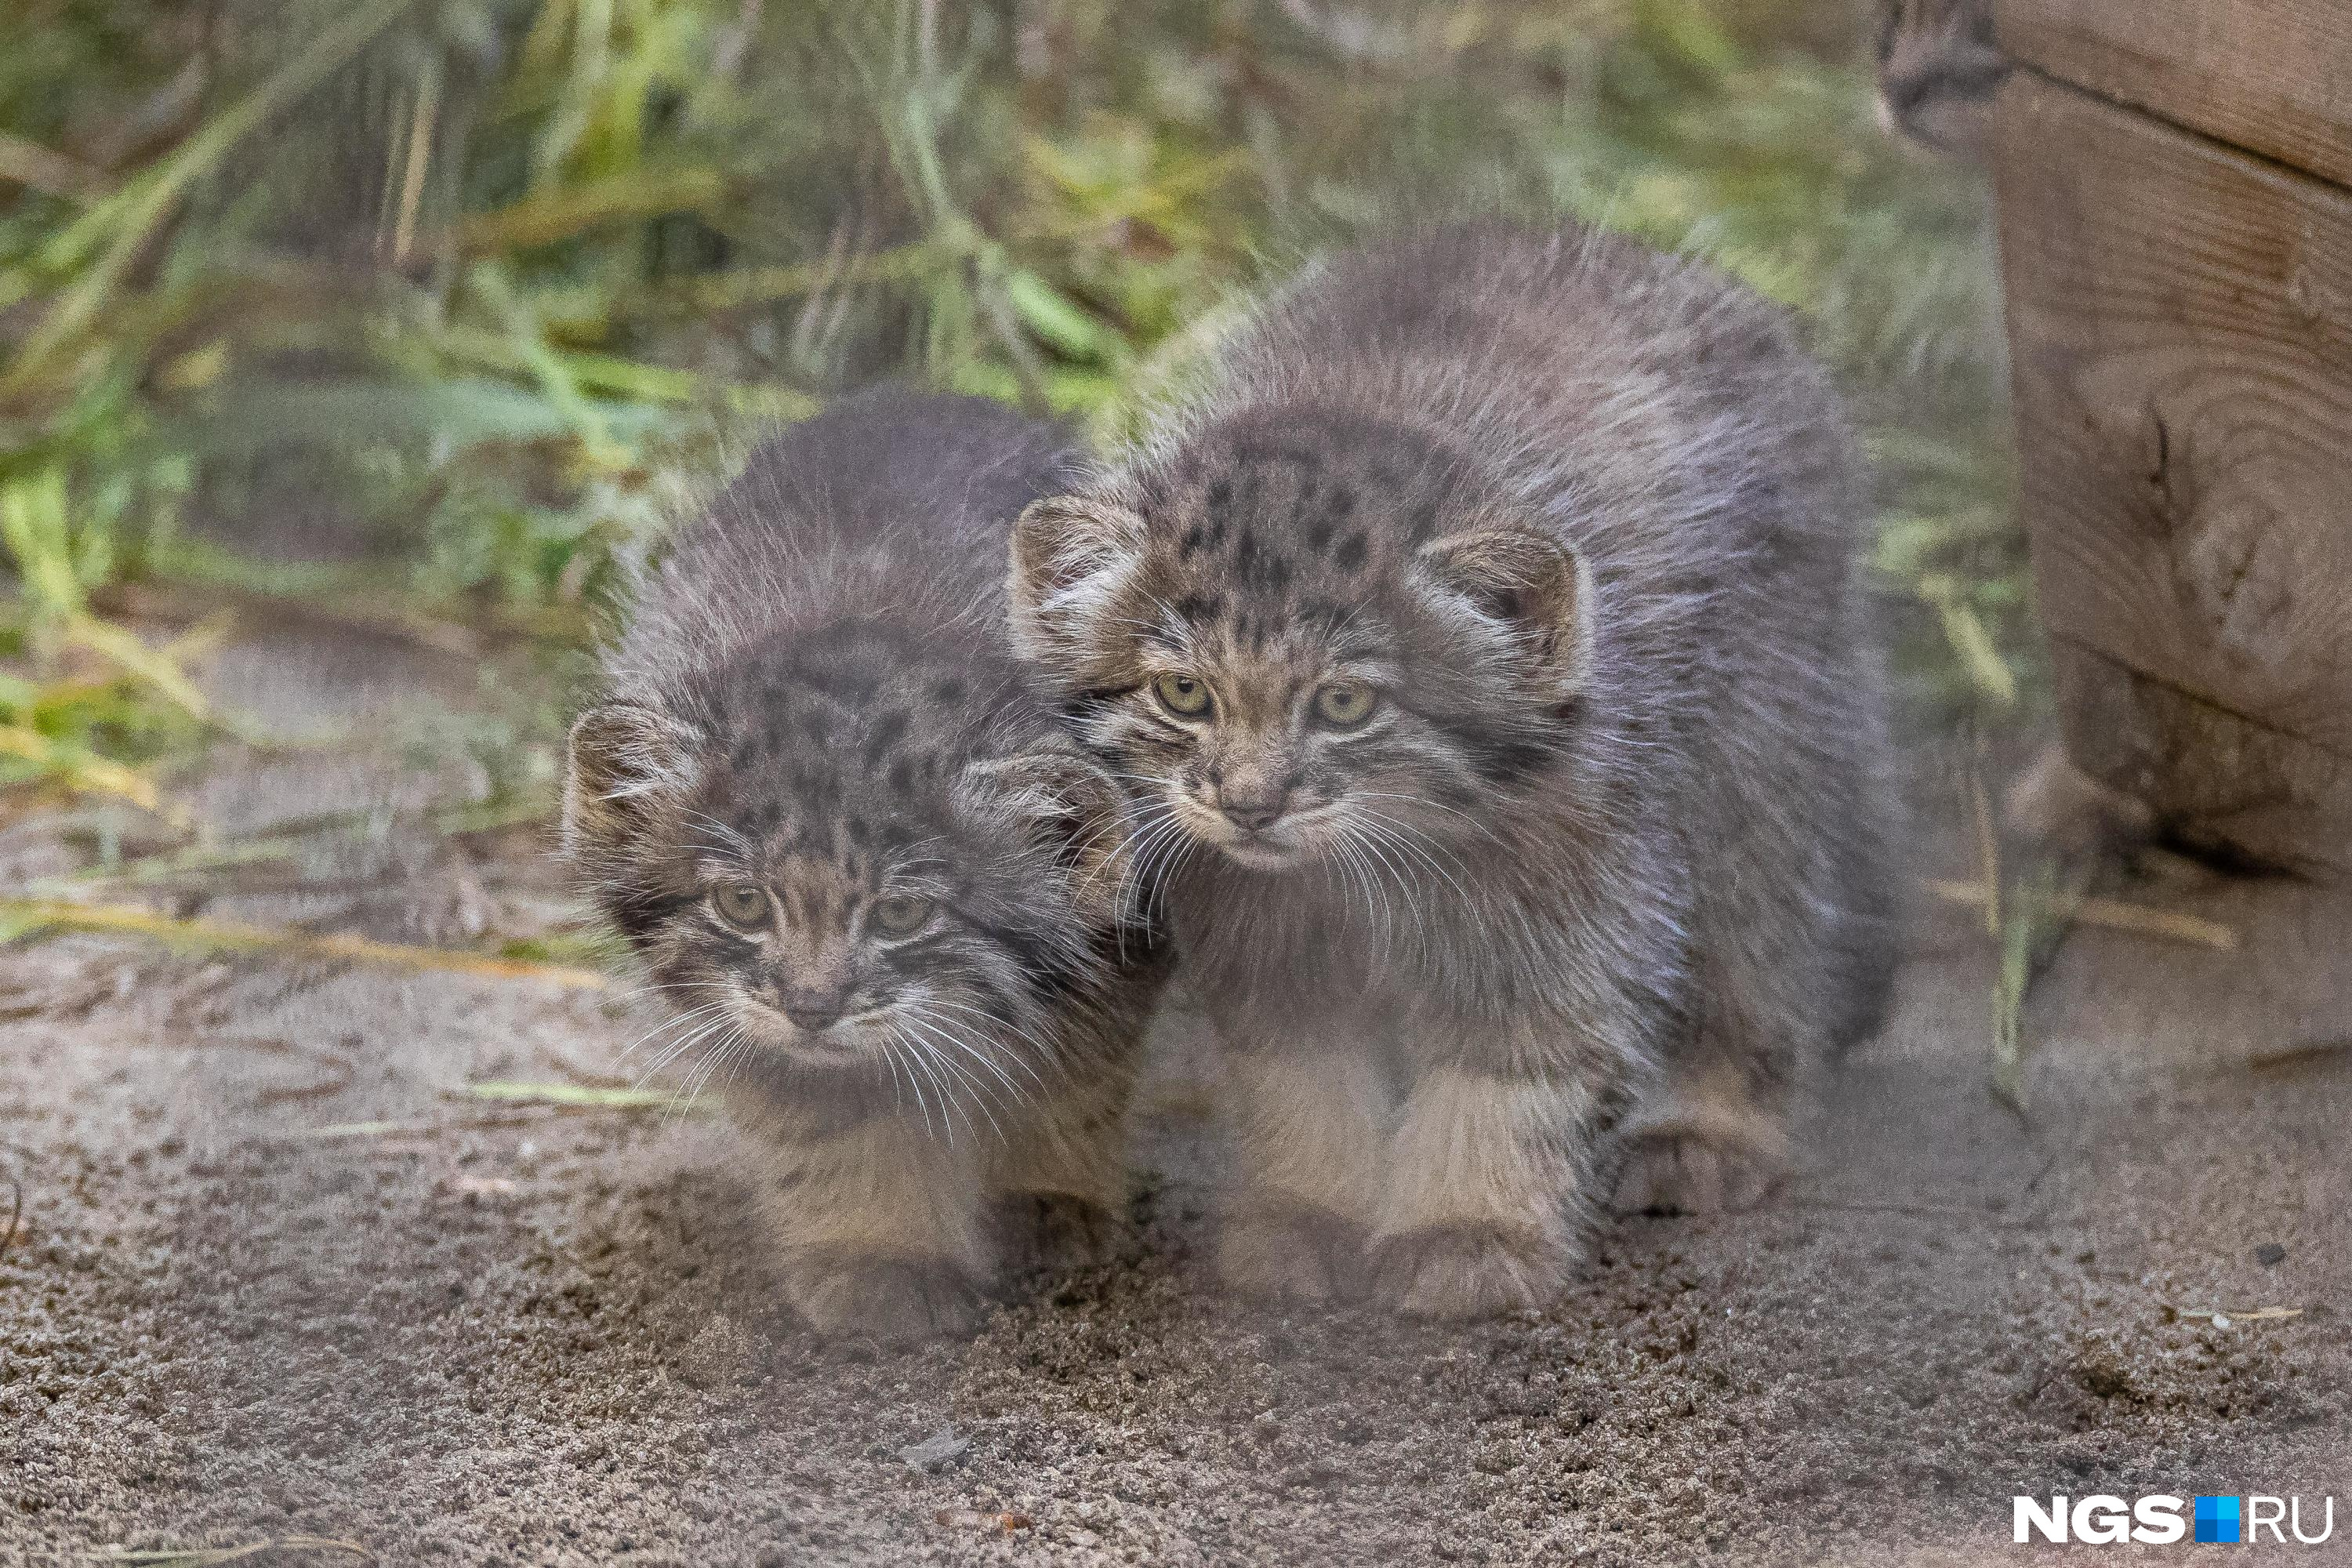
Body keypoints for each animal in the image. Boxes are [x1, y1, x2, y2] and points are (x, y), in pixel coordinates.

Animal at [562, 390, 1167, 1335]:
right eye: (743, 904)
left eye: (902, 913)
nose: (813, 1007)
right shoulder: (754, 1022)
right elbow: (841, 1125)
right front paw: (879, 1255)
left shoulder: (1127, 937)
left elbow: (1071, 1075)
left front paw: (1045, 1196)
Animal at [1002, 220, 1900, 1316]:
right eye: (1184, 695)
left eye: (1346, 704)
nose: (1251, 804)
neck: (1382, 858)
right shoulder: (1258, 918)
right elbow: (1302, 1071)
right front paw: (1310, 1210)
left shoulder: (1566, 886)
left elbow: (1507, 1066)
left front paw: (1467, 1224)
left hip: (1754, 739)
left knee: (1759, 938)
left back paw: (1708, 1124)